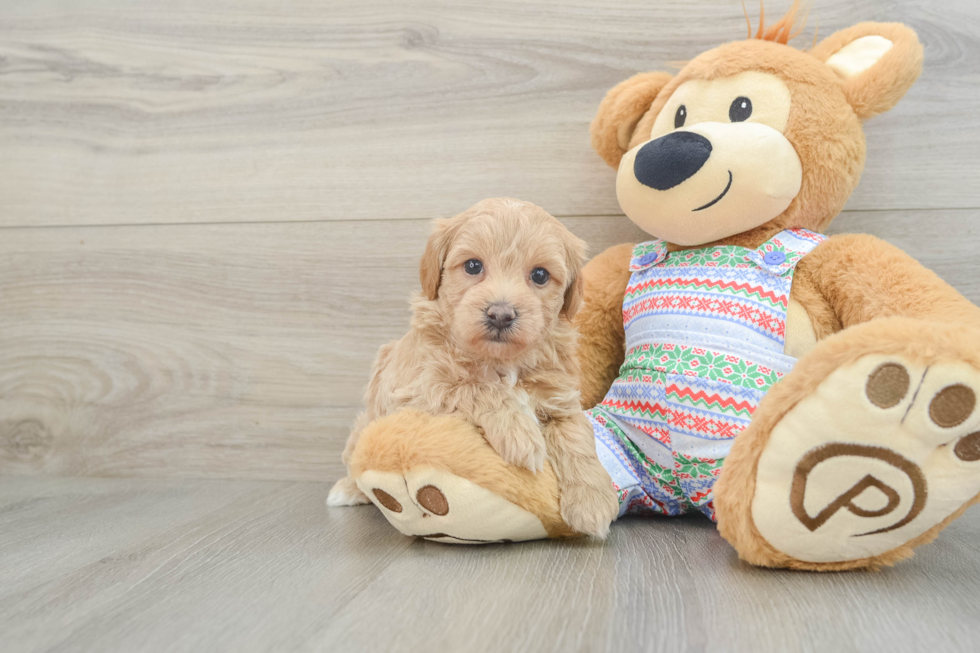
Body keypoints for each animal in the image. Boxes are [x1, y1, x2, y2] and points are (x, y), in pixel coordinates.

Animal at [330, 196, 620, 536]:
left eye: (540, 275)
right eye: (472, 266)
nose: (501, 314)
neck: (502, 362)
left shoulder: (560, 399)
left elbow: (576, 435)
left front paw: (593, 502)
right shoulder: (417, 390)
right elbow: (474, 385)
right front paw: (521, 434)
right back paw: (347, 490)